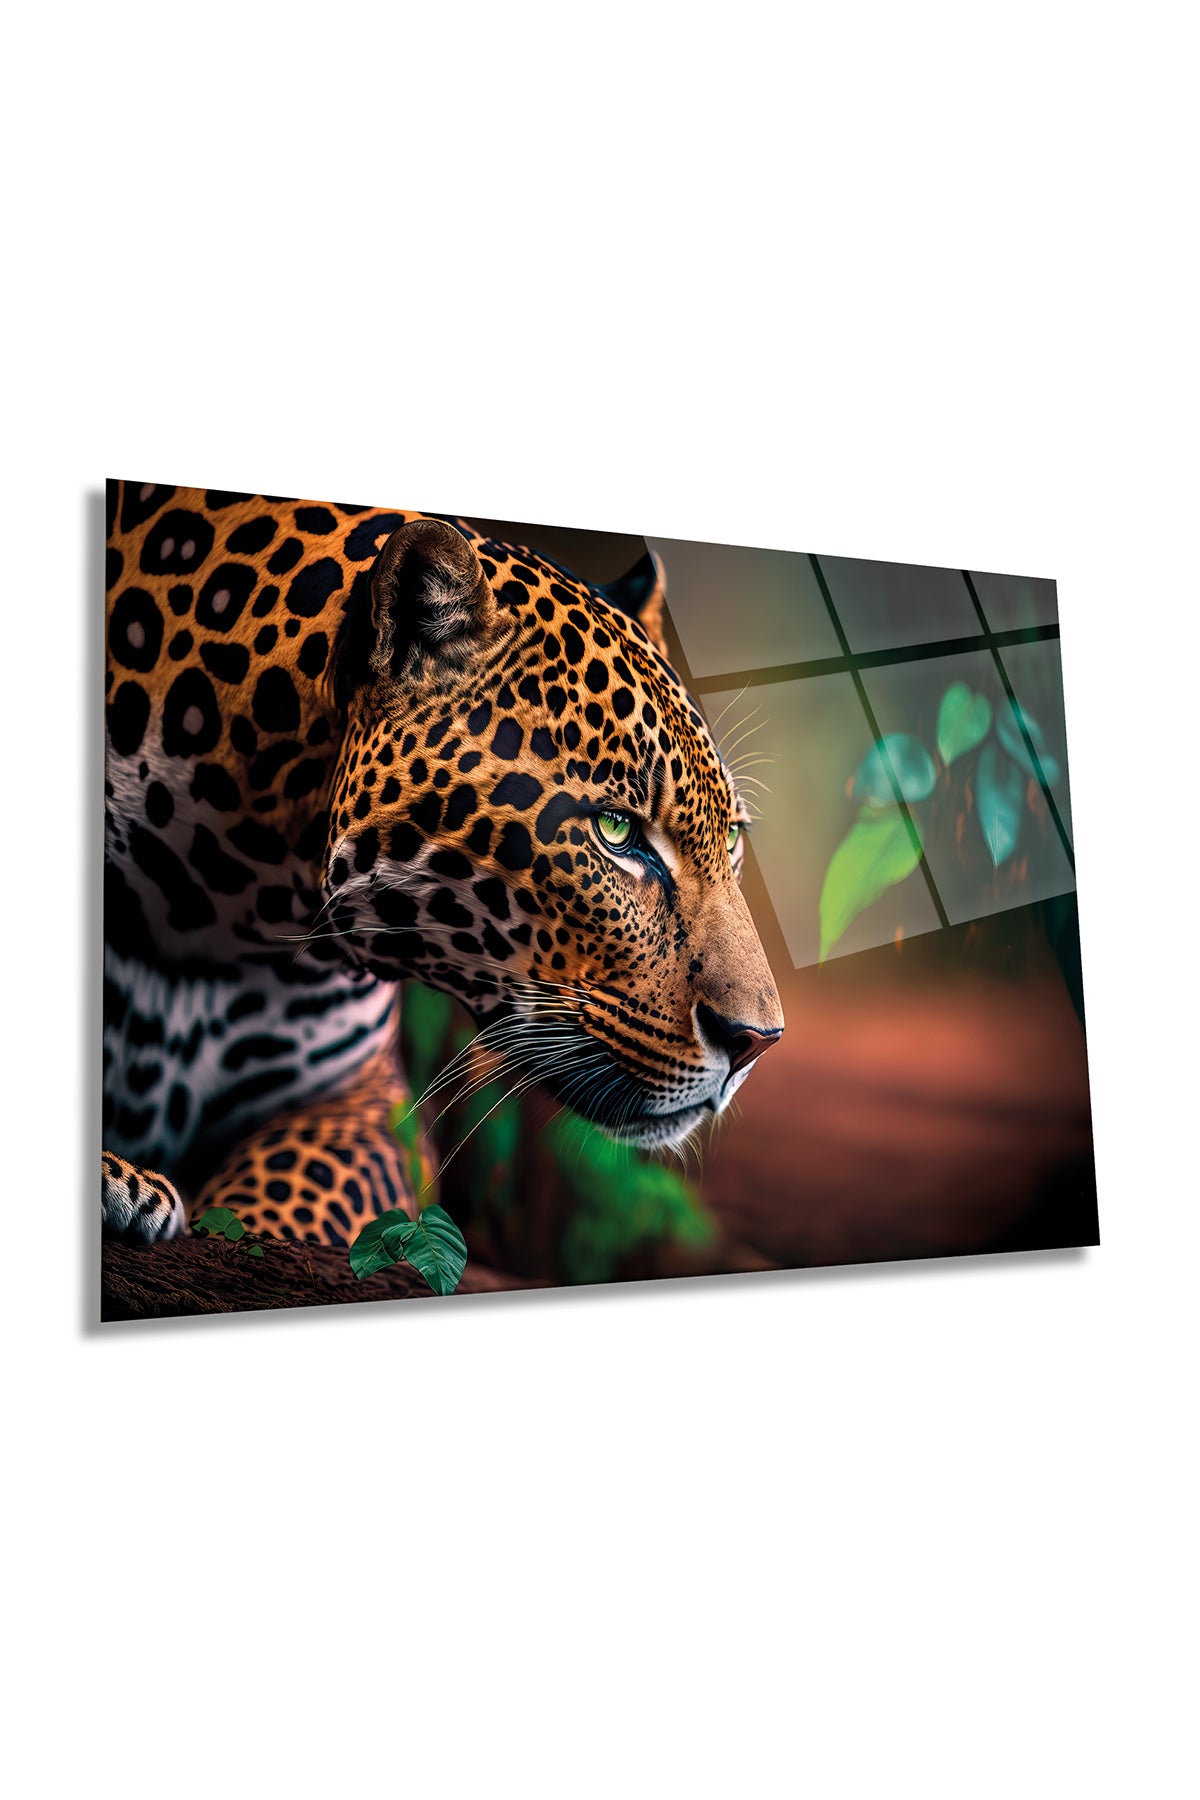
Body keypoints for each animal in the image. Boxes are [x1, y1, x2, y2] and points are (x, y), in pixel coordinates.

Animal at [102, 481, 784, 1258]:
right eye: (615, 832)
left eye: (728, 835)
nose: (756, 1043)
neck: (217, 913)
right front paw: (126, 1185)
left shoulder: (367, 1111)